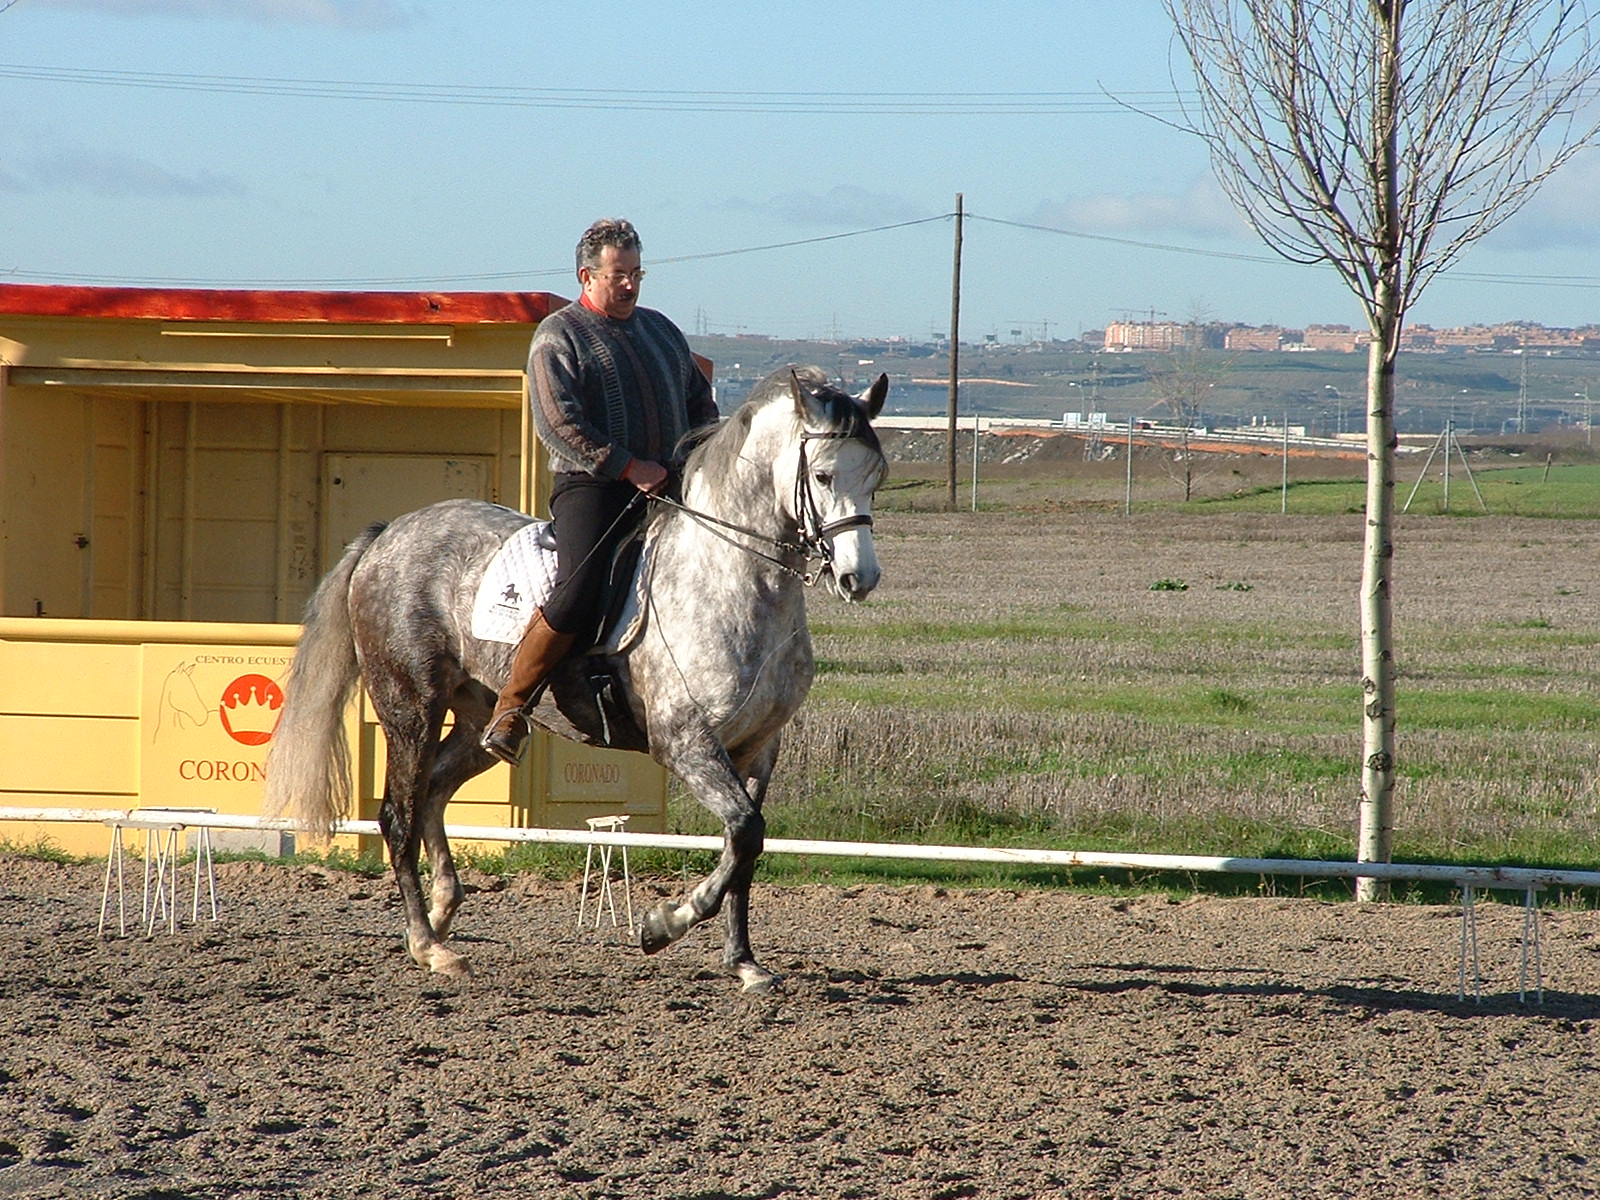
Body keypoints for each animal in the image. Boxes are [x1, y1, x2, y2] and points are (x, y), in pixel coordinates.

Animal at [264, 365, 889, 992]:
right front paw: (662, 925)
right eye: (823, 474)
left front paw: (745, 963)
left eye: (876, 478)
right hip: (408, 705)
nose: (858, 579)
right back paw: (430, 946)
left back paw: (443, 911)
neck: (731, 579)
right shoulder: (686, 743)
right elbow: (743, 830)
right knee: (398, 814)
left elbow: (745, 847)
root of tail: (389, 533)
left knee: (434, 790)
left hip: (479, 717)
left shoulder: (759, 747)